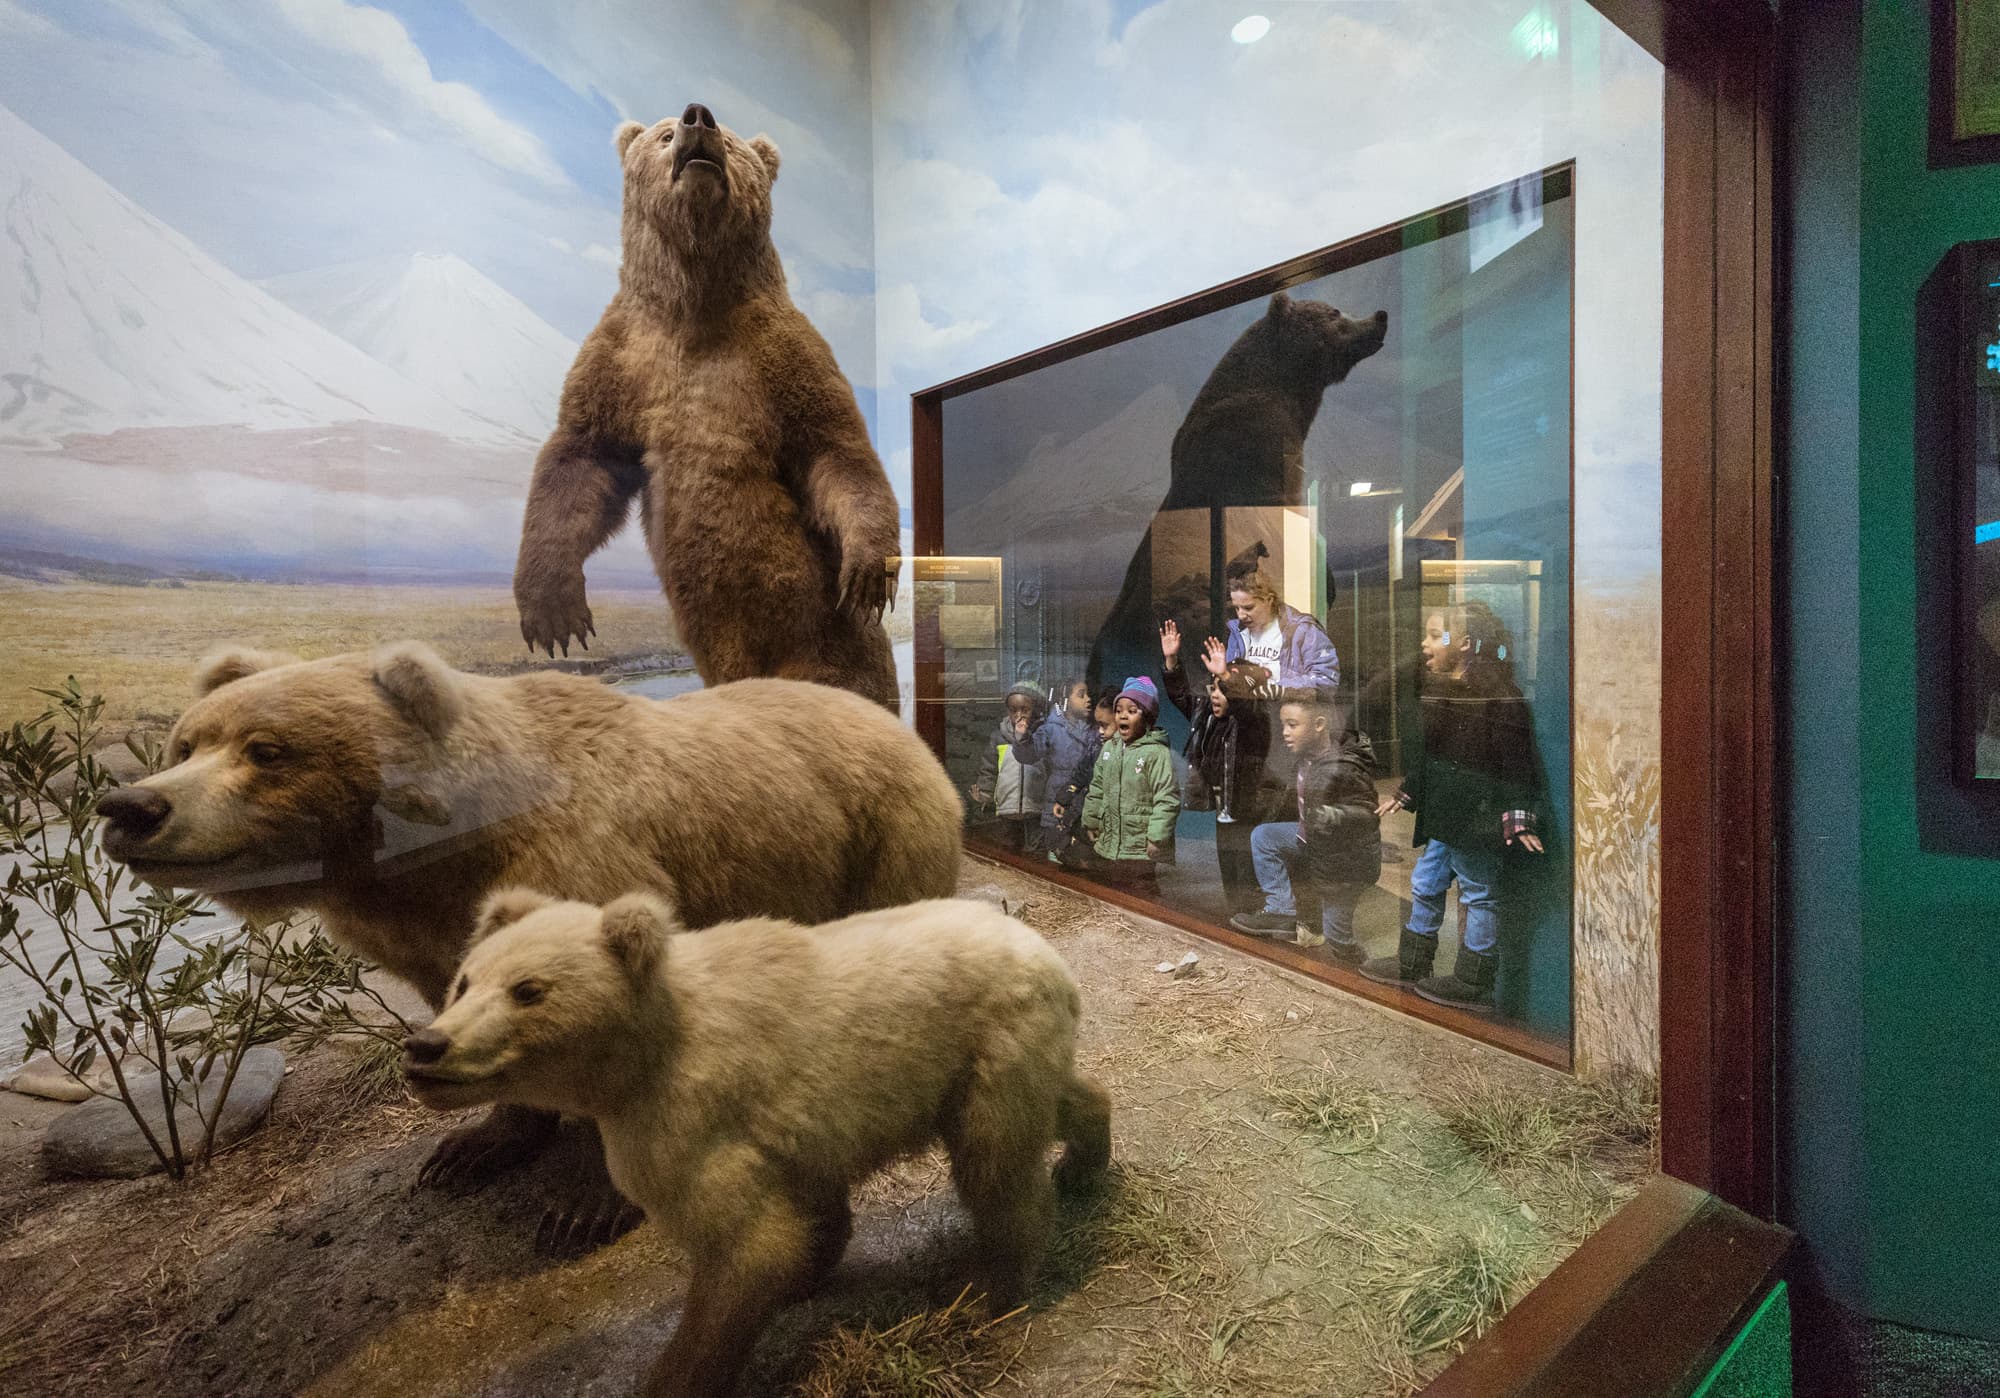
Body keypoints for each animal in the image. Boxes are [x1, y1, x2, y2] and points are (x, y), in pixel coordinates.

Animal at [516, 102, 900, 712]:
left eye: (735, 142)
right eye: (662, 134)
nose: (699, 118)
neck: (695, 302)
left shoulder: (784, 357)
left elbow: (833, 448)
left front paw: (867, 570)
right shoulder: (624, 357)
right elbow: (582, 459)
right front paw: (553, 615)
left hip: (829, 644)